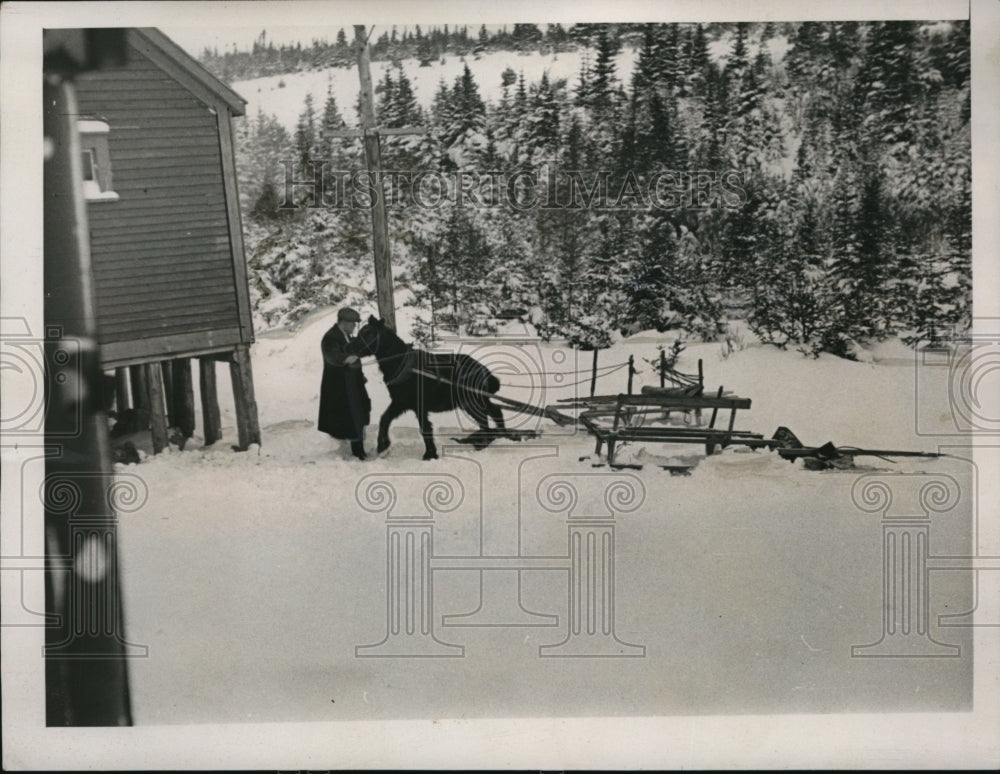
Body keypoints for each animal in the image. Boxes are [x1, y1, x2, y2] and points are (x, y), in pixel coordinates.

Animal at [346, 316, 508, 460]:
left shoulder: (418, 406)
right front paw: (383, 447)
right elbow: (384, 419)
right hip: (474, 401)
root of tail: (485, 371)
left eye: (368, 333)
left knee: (486, 418)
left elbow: (424, 429)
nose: (348, 347)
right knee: (494, 412)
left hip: (470, 401)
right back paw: (495, 436)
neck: (402, 363)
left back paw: (484, 442)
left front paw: (429, 454)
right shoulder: (400, 403)